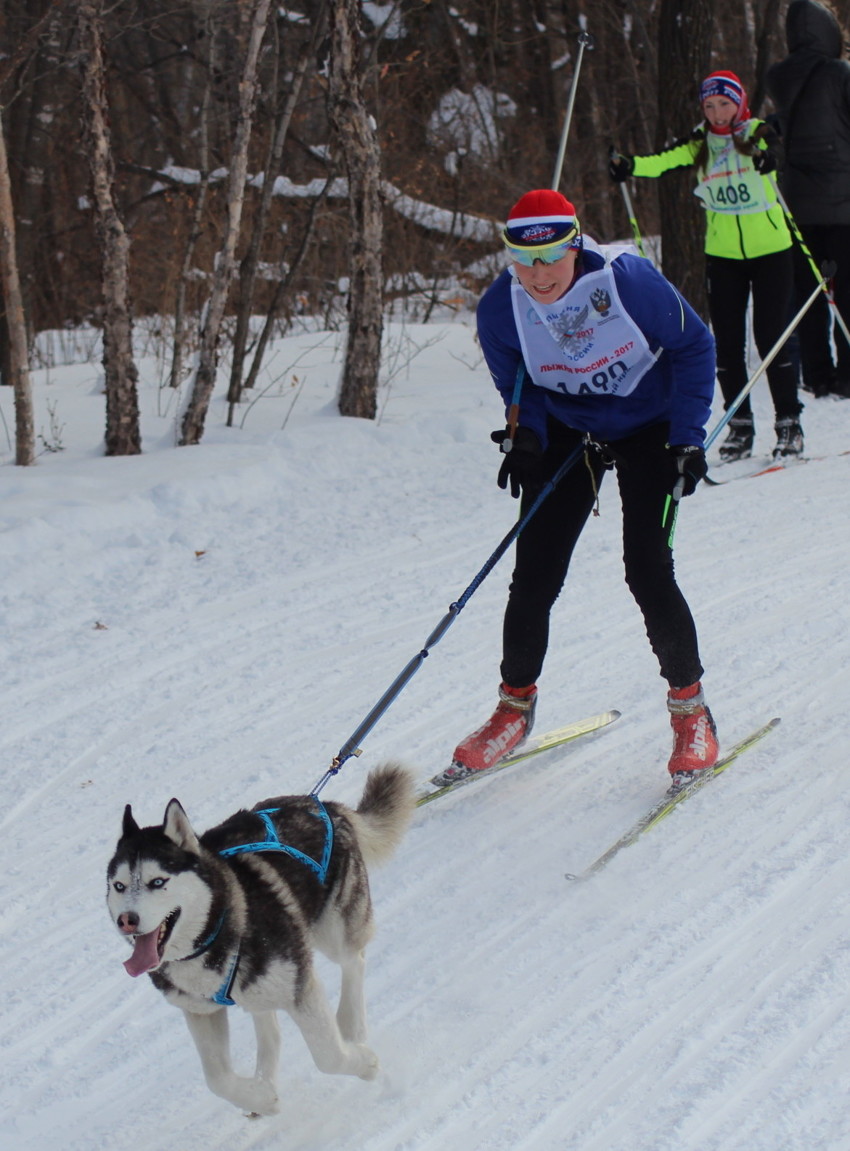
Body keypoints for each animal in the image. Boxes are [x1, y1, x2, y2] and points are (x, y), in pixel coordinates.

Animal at [104, 764, 414, 1114]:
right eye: (119, 886)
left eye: (158, 881)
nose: (126, 920)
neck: (213, 935)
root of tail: (323, 804)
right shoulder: (200, 1011)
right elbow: (217, 1080)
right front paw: (263, 1097)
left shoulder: (299, 989)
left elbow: (328, 1056)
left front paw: (366, 1064)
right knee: (267, 1023)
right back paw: (265, 1076)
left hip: (333, 932)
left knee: (353, 961)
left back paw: (350, 1026)